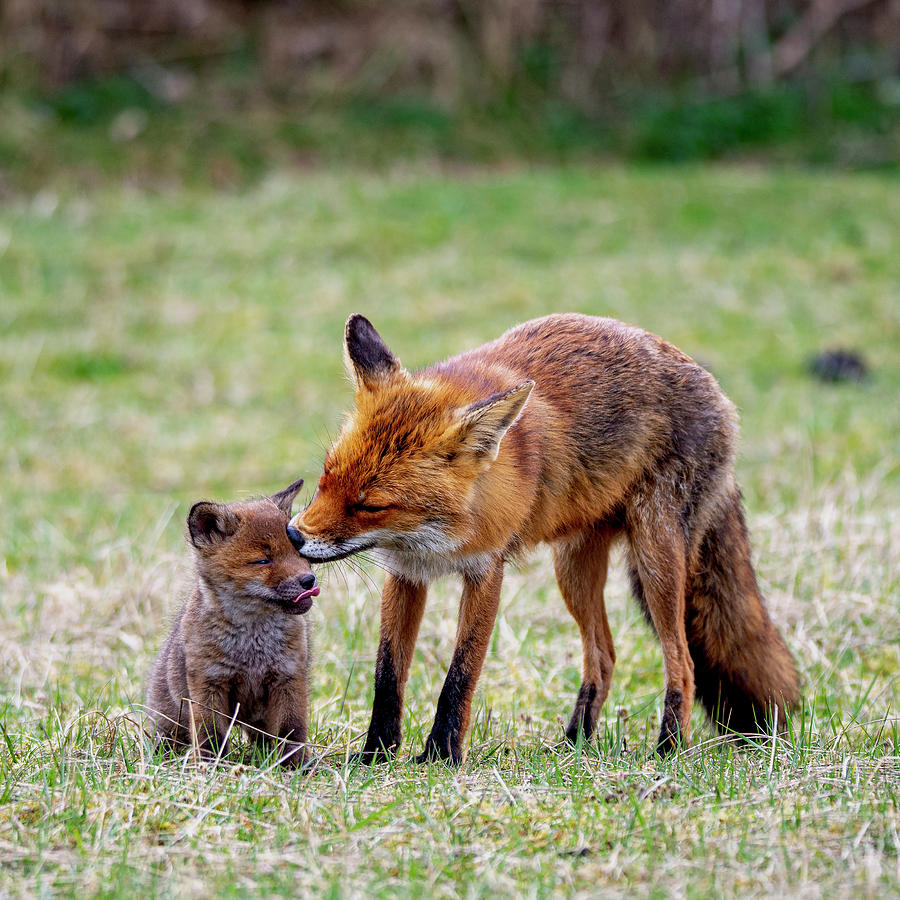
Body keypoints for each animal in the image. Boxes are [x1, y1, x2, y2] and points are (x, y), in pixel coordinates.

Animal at [286, 312, 796, 764]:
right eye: (326, 477)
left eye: (370, 505)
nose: (292, 534)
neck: (433, 538)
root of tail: (718, 393)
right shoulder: (408, 575)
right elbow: (387, 676)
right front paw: (376, 755)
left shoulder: (486, 571)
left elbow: (460, 675)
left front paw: (441, 756)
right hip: (572, 570)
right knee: (604, 657)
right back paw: (574, 745)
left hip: (656, 563)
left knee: (682, 664)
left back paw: (667, 750)